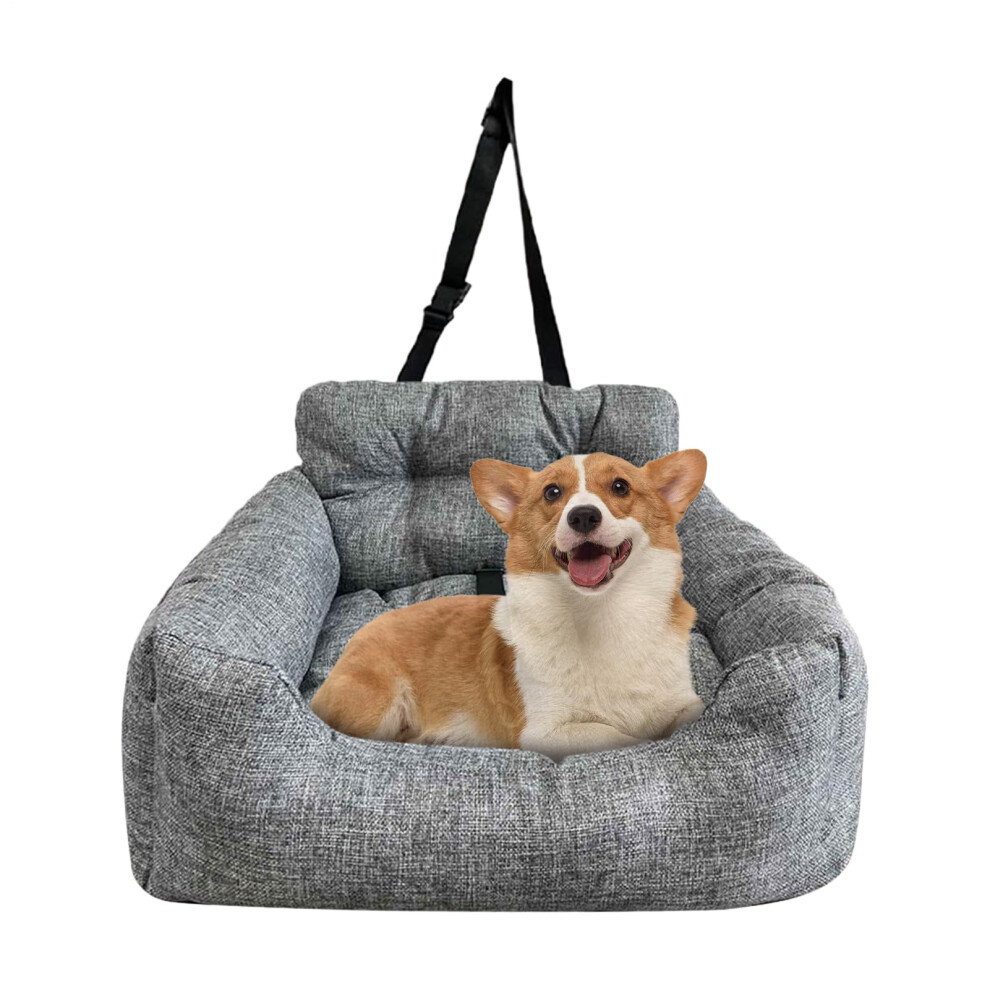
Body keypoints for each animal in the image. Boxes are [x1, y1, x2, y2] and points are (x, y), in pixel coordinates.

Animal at [310, 449, 707, 759]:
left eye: (620, 486)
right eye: (552, 492)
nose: (582, 515)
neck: (599, 613)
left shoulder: (685, 703)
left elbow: (688, 712)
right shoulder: (546, 732)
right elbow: (619, 735)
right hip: (378, 710)